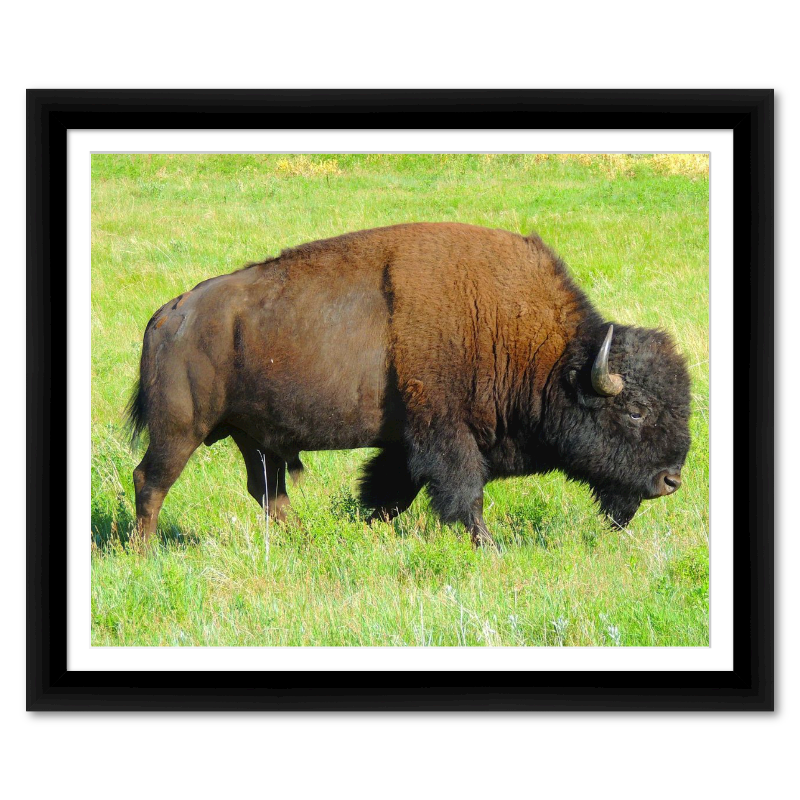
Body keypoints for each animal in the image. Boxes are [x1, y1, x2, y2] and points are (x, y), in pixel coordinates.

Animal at [129, 223, 691, 547]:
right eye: (635, 410)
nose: (671, 481)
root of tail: (167, 315)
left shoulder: (406, 445)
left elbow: (389, 493)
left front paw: (366, 532)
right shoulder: (446, 435)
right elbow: (464, 494)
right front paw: (488, 548)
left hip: (252, 438)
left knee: (267, 491)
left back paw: (305, 542)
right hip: (180, 430)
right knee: (150, 481)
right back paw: (144, 552)